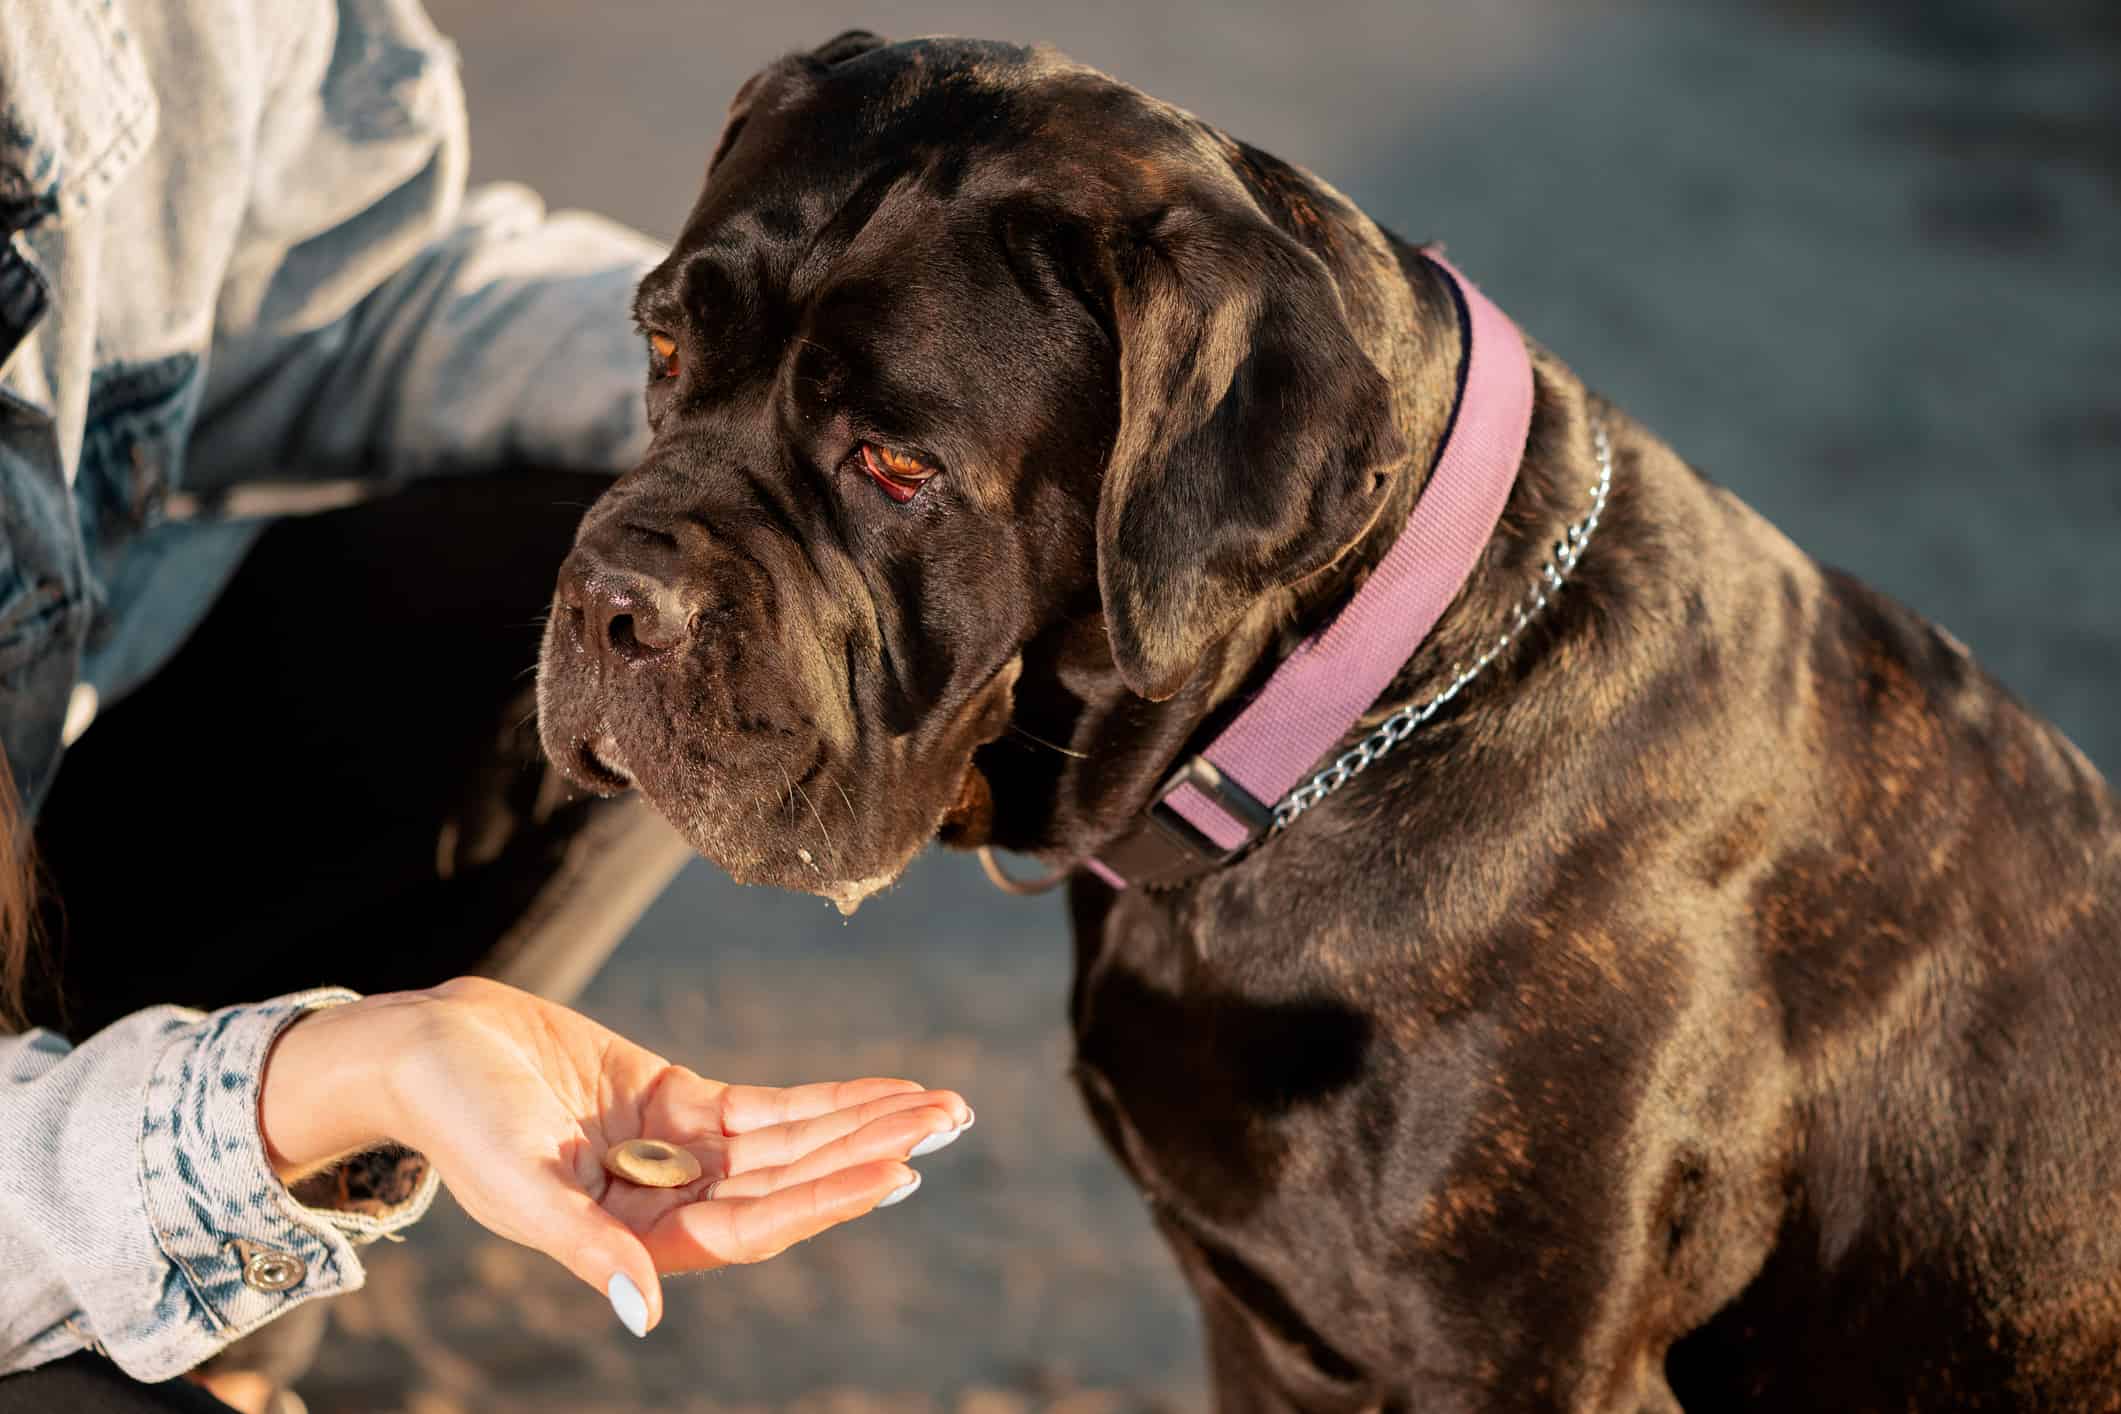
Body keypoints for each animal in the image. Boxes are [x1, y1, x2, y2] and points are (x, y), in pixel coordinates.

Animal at [534, 33, 2121, 1414]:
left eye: (896, 466)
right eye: (661, 348)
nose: (613, 596)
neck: (1352, 725)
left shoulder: (1518, 1372)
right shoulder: (1257, 1329)